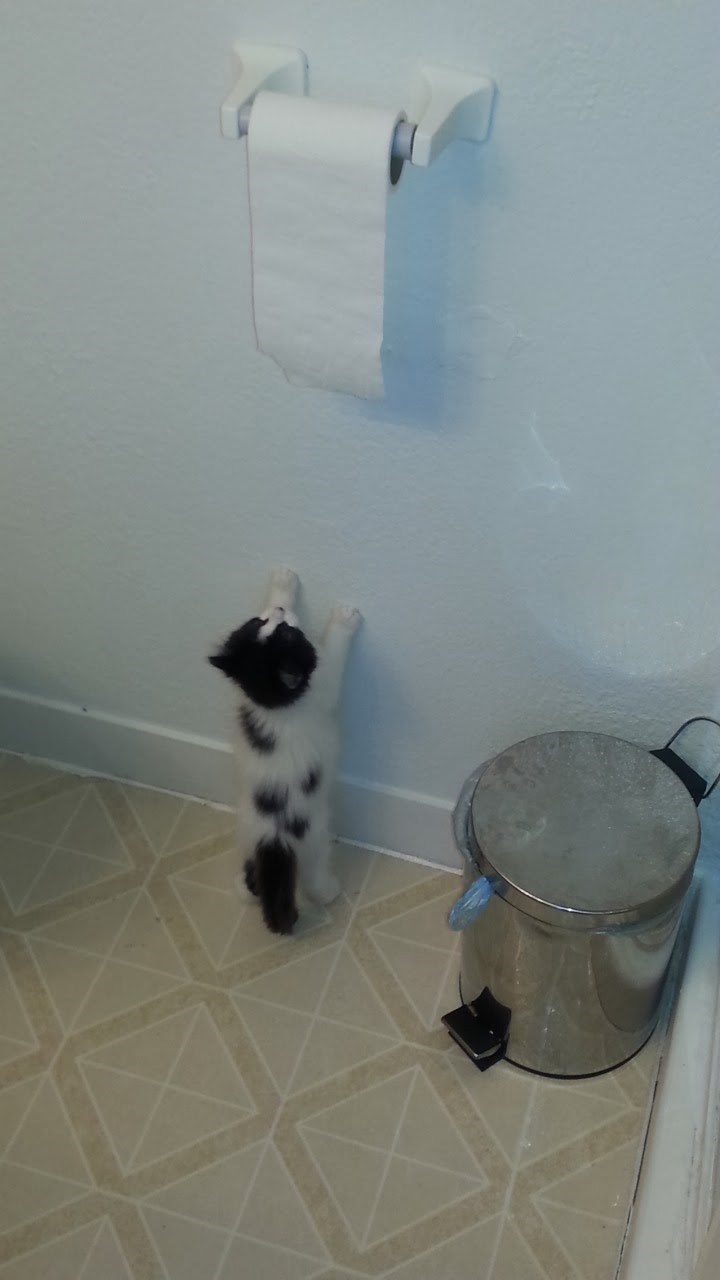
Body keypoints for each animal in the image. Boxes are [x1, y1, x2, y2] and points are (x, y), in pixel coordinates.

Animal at [210, 570, 361, 942]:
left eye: (261, 621)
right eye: (288, 634)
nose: (278, 613)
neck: (274, 704)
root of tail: (272, 840)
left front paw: (282, 584)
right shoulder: (322, 685)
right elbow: (334, 657)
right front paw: (343, 619)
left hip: (245, 838)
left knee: (254, 879)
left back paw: (243, 888)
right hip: (315, 840)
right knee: (313, 878)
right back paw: (330, 891)